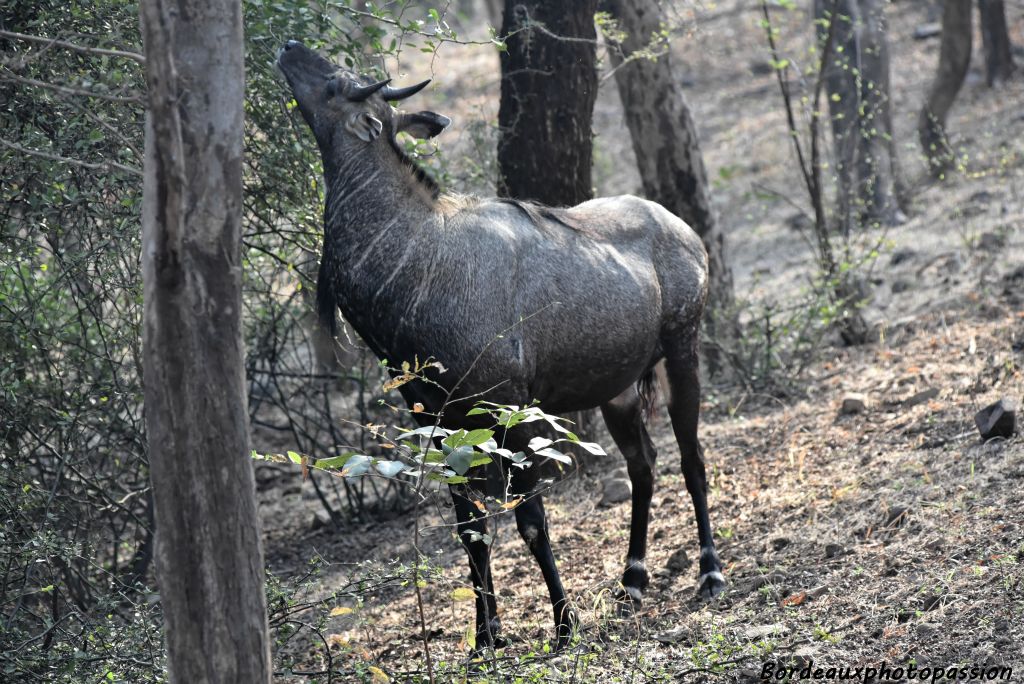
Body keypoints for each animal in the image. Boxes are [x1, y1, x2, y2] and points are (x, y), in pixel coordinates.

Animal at [276, 40, 724, 651]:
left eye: (336, 84)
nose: (289, 47)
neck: (411, 269)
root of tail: (687, 231)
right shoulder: (437, 418)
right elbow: (471, 530)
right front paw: (484, 638)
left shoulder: (510, 407)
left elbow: (531, 521)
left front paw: (563, 626)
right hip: (618, 386)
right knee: (644, 463)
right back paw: (631, 580)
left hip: (683, 348)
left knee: (692, 458)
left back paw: (709, 571)